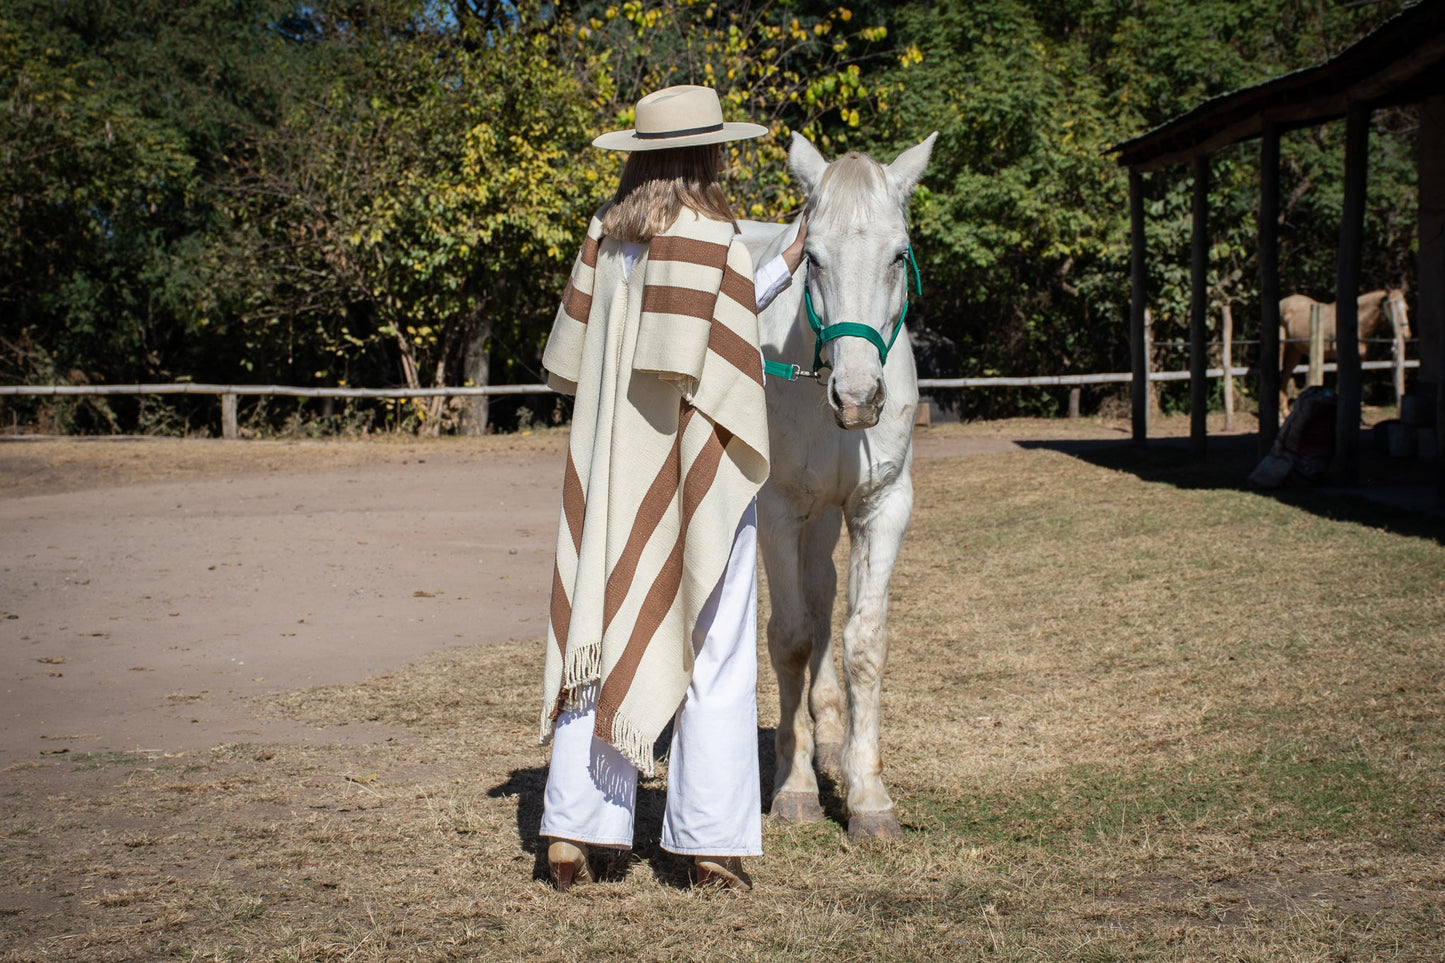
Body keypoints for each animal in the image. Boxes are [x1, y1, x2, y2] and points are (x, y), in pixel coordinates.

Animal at [745, 131, 936, 838]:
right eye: (814, 259)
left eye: (898, 255)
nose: (857, 399)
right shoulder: (776, 510)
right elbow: (790, 638)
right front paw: (795, 787)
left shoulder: (880, 507)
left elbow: (862, 640)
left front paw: (867, 794)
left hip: (825, 517)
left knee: (823, 592)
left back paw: (828, 734)